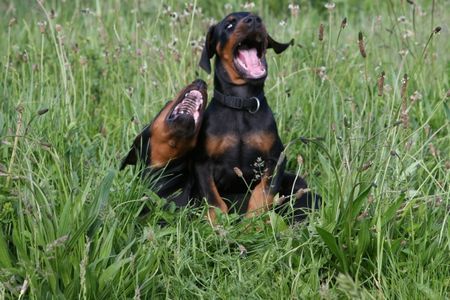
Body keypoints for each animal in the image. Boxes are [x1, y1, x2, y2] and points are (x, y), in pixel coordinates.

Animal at [195, 12, 318, 223]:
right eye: (228, 25)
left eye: (257, 17)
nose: (253, 20)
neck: (241, 104)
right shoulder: (202, 163)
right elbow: (213, 198)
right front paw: (218, 223)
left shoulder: (276, 159)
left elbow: (262, 192)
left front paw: (253, 222)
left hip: (295, 181)